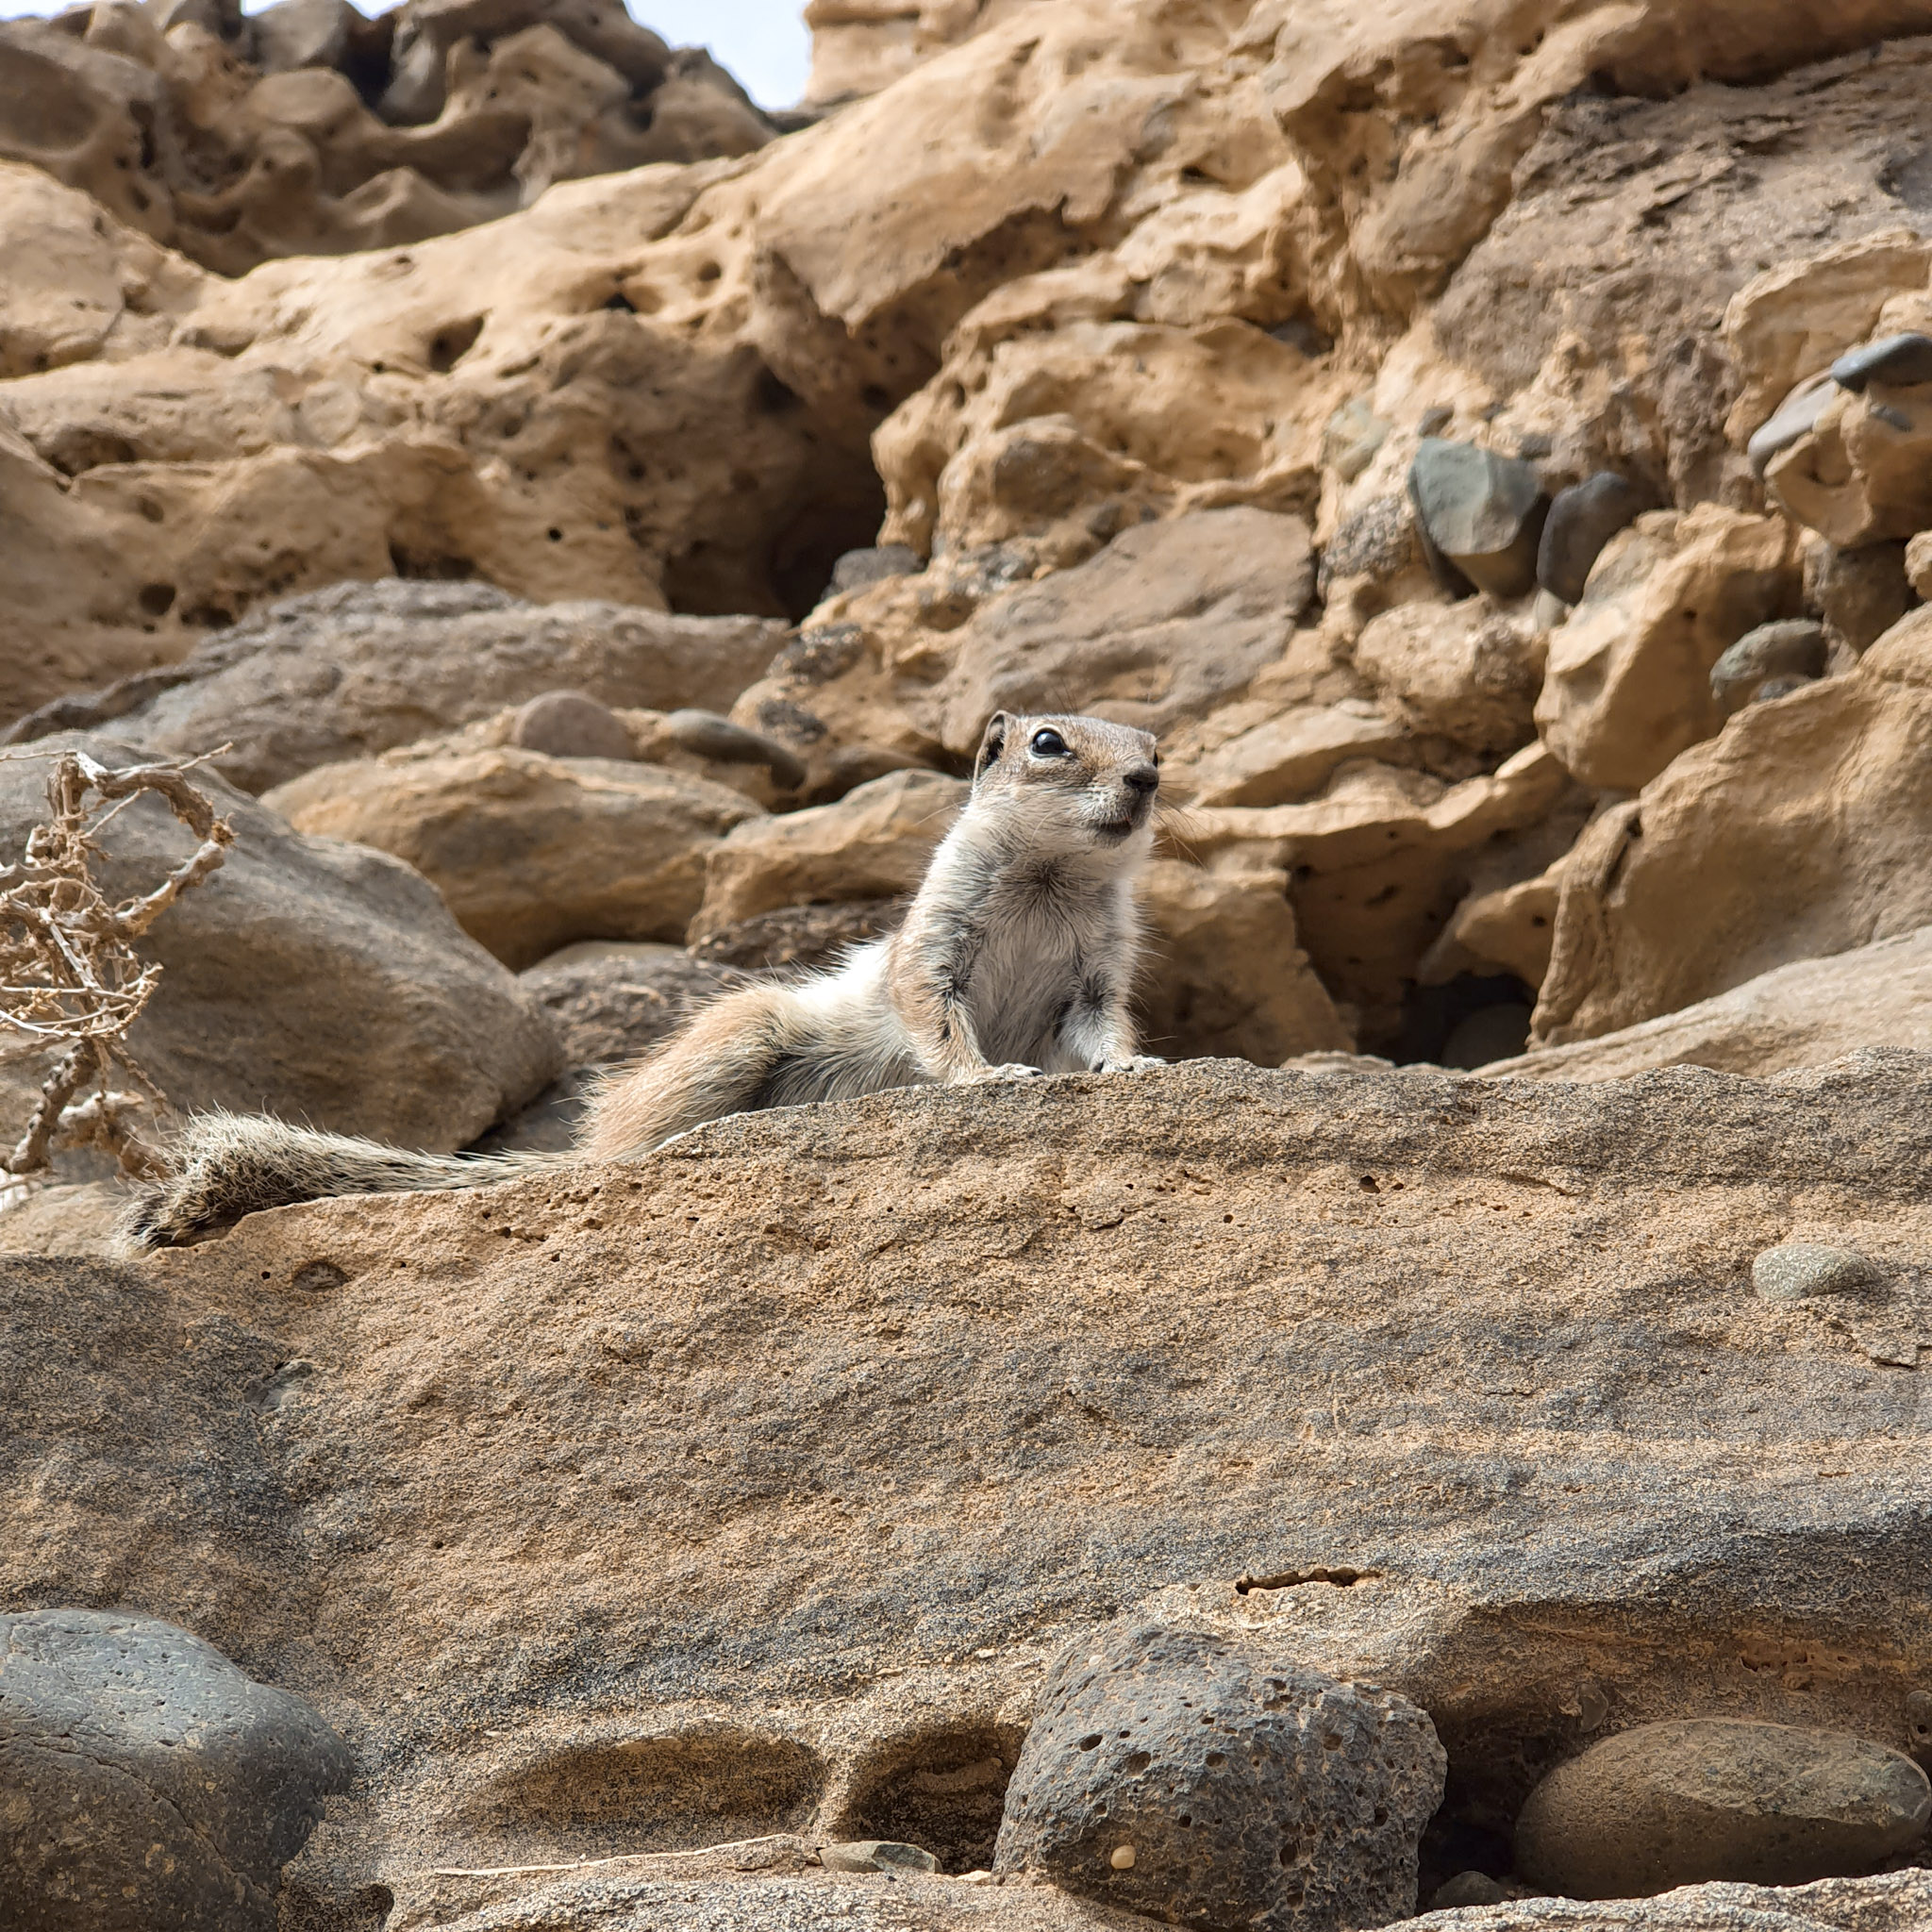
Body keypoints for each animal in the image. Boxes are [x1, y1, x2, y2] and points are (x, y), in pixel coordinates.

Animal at [132, 718, 1174, 1243]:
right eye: (1048, 742)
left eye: (1156, 747)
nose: (1146, 782)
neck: (1050, 876)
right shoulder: (934, 947)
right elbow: (936, 1018)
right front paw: (985, 1076)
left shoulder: (1096, 972)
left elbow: (1101, 1030)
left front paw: (1132, 1070)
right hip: (744, 1036)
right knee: (624, 1158)